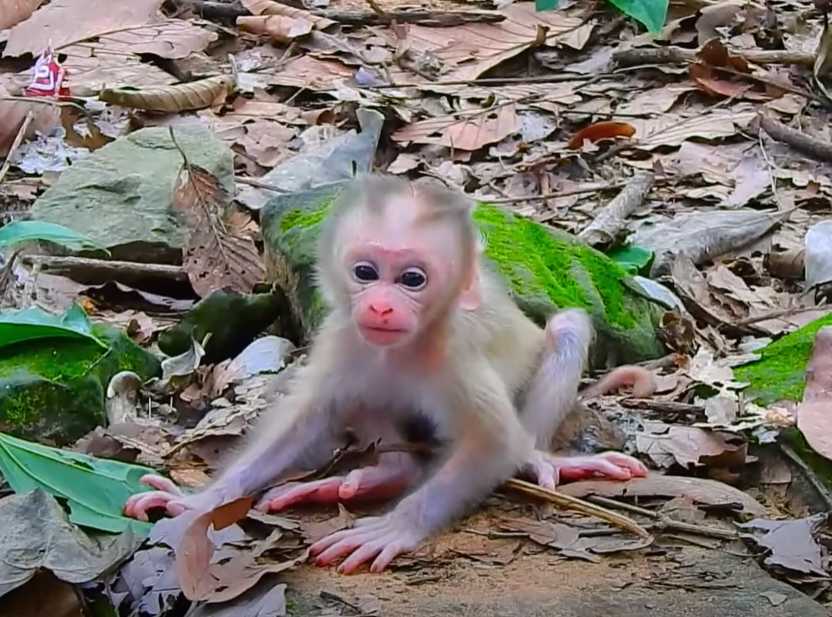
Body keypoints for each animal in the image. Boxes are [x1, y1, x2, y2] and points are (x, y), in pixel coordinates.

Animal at [124, 175, 647, 574]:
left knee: (565, 331)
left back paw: (539, 456)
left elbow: (496, 444)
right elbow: (305, 423)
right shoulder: (344, 337)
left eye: (412, 279)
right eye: (365, 272)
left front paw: (397, 526)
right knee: (366, 391)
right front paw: (203, 500)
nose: (379, 306)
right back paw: (383, 475)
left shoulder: (453, 353)